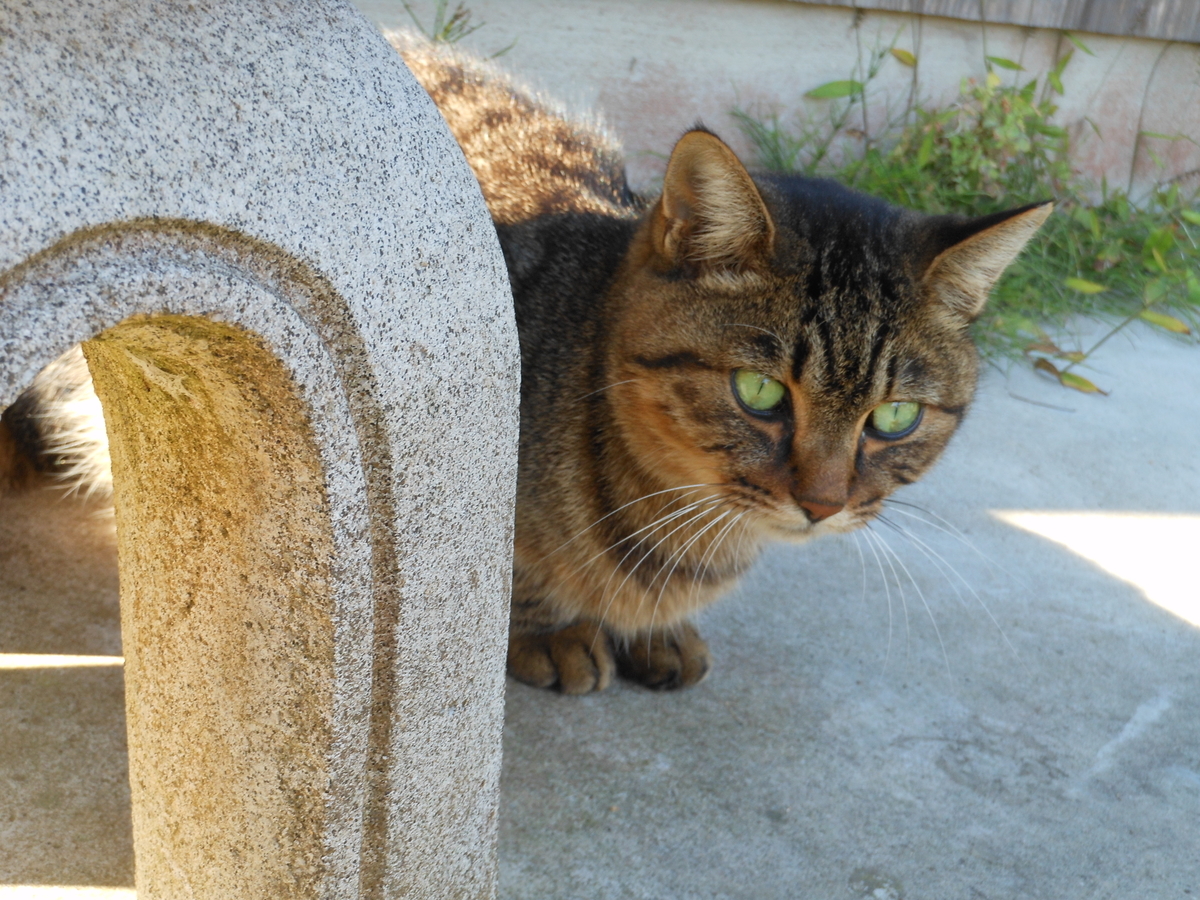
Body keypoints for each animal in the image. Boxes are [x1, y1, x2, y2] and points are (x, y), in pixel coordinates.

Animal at [0, 36, 1050, 695]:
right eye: (760, 394)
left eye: (893, 418)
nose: (824, 504)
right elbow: (515, 574)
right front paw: (551, 631)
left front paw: (652, 635)